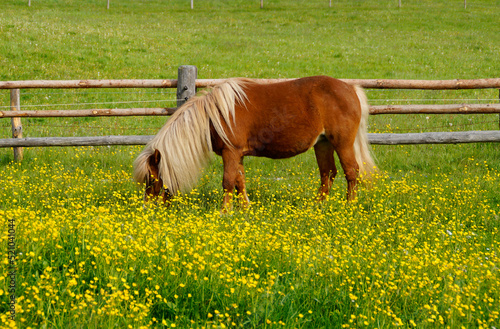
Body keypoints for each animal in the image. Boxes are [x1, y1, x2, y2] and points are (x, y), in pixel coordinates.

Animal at [133, 76, 376, 209]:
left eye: (151, 179)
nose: (148, 210)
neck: (215, 115)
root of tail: (350, 88)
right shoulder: (237, 155)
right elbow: (240, 182)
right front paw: (246, 208)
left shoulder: (231, 153)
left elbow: (228, 182)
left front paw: (224, 212)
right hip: (322, 143)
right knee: (328, 174)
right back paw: (317, 206)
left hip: (342, 143)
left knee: (351, 172)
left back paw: (349, 206)